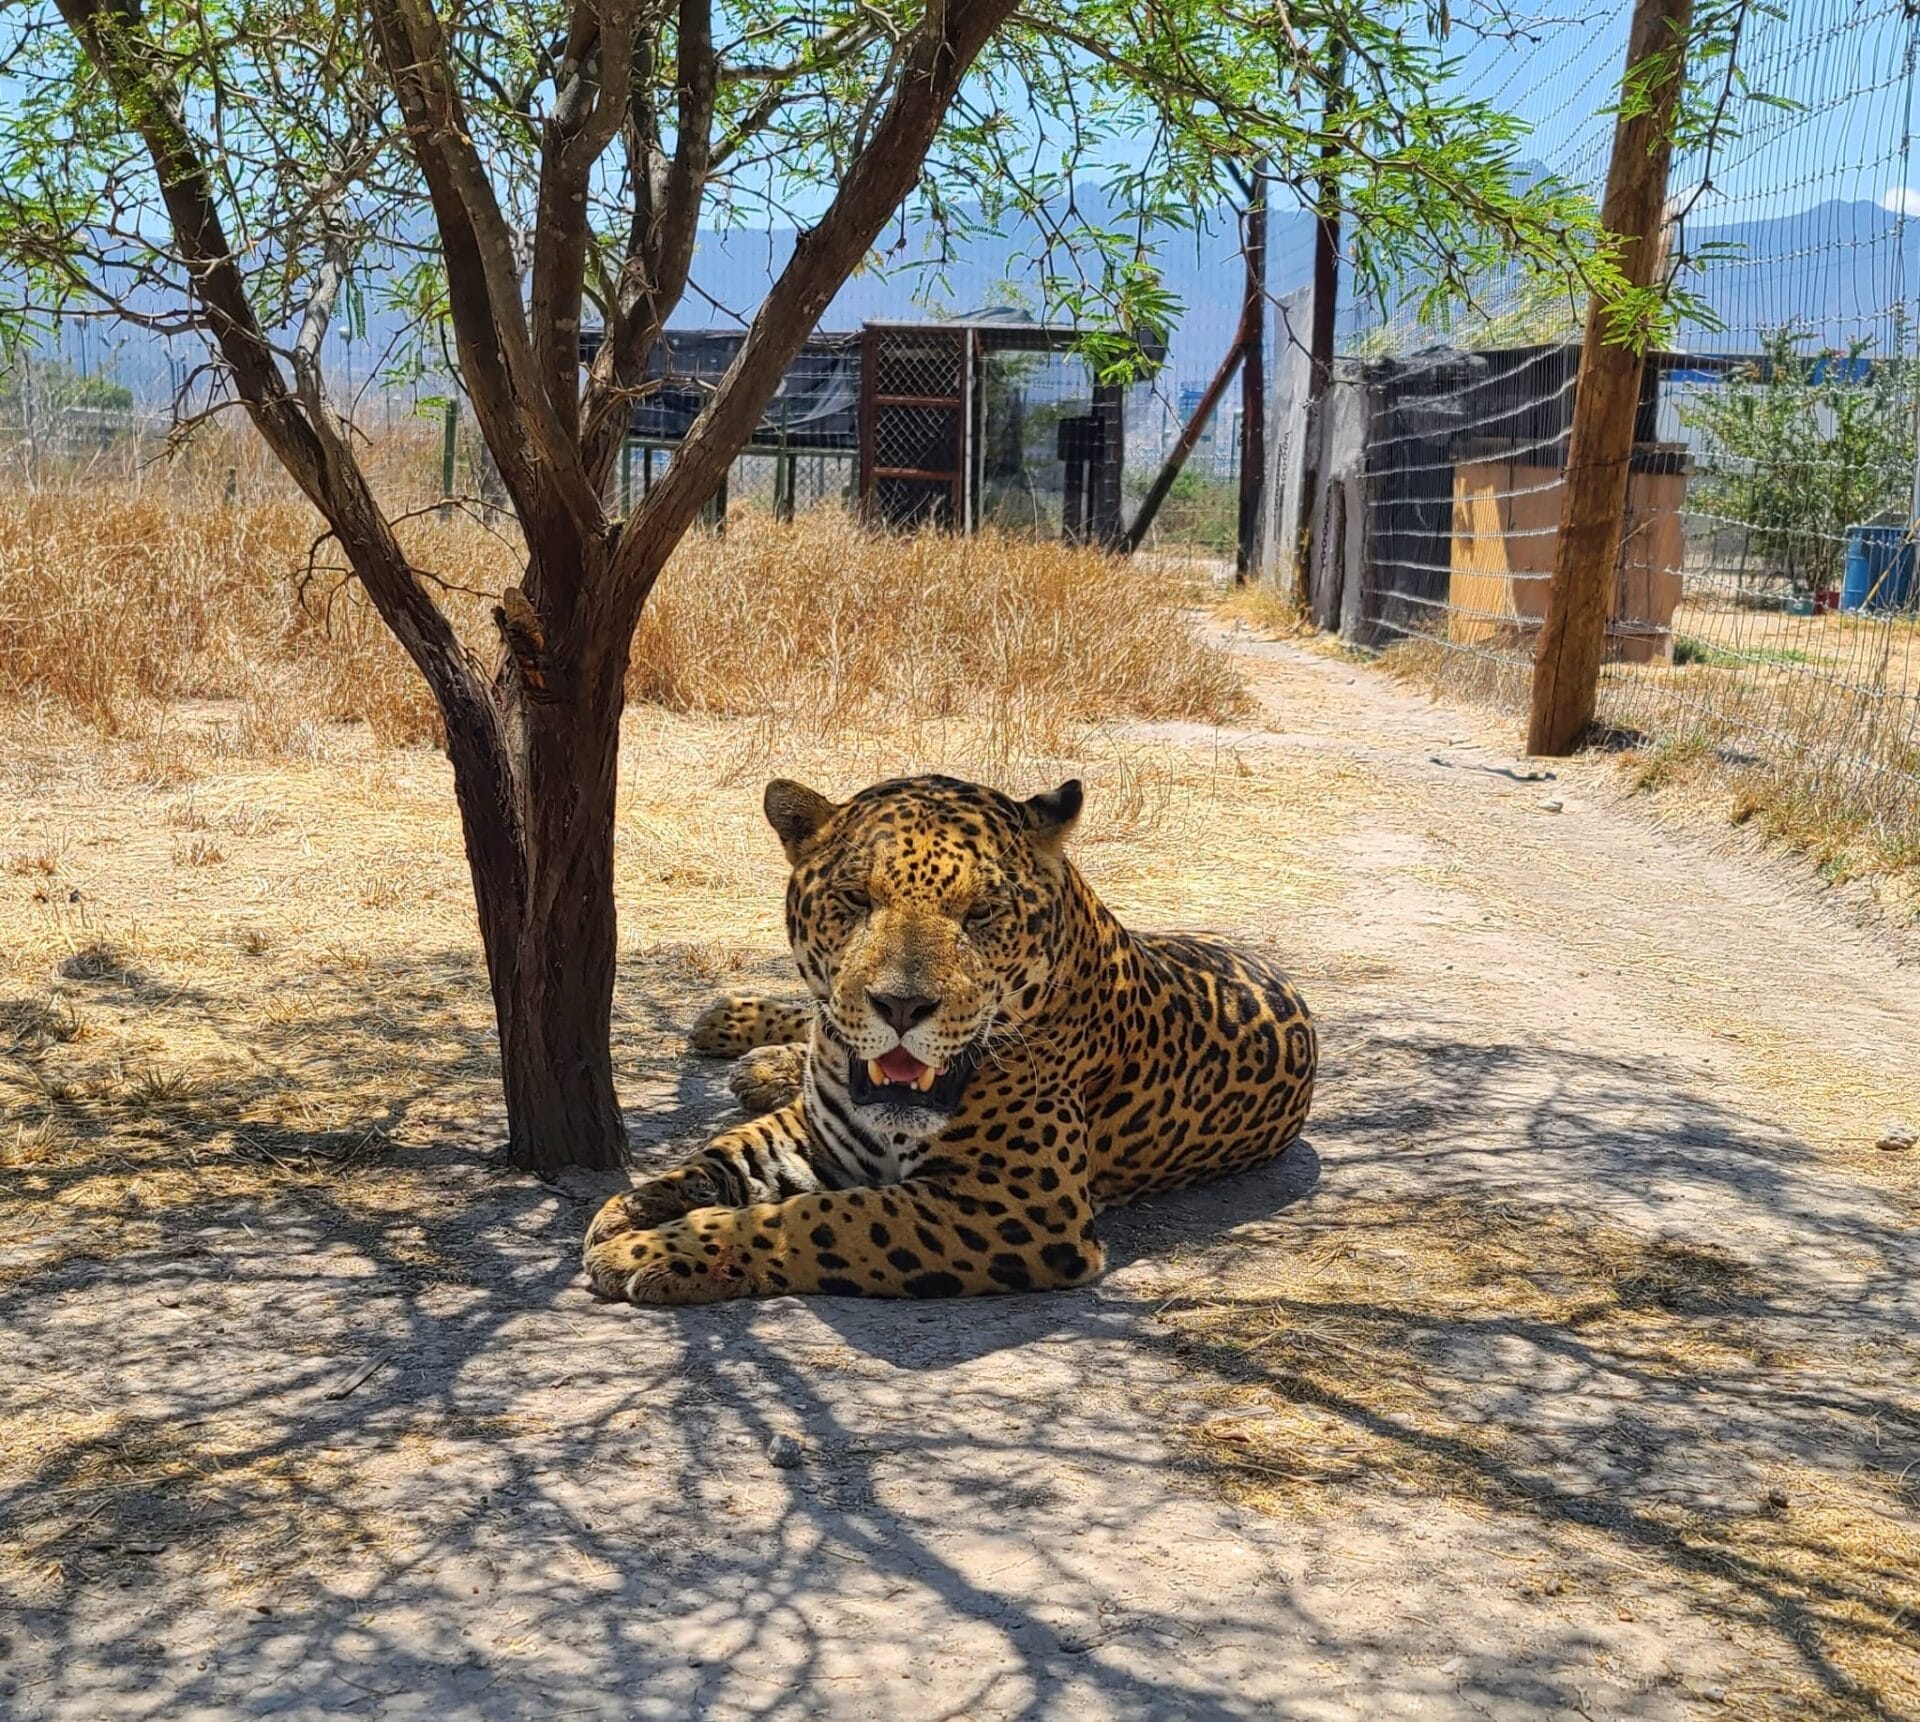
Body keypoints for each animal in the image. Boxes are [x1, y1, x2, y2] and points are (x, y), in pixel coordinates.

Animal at [583, 773, 1315, 1305]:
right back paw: (739, 1030)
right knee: (809, 1023)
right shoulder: (823, 1130)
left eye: (983, 912)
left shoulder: (1017, 1207)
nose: (902, 1006)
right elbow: (728, 1155)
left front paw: (649, 1250)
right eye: (855, 899)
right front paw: (638, 1207)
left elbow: (816, 1219)